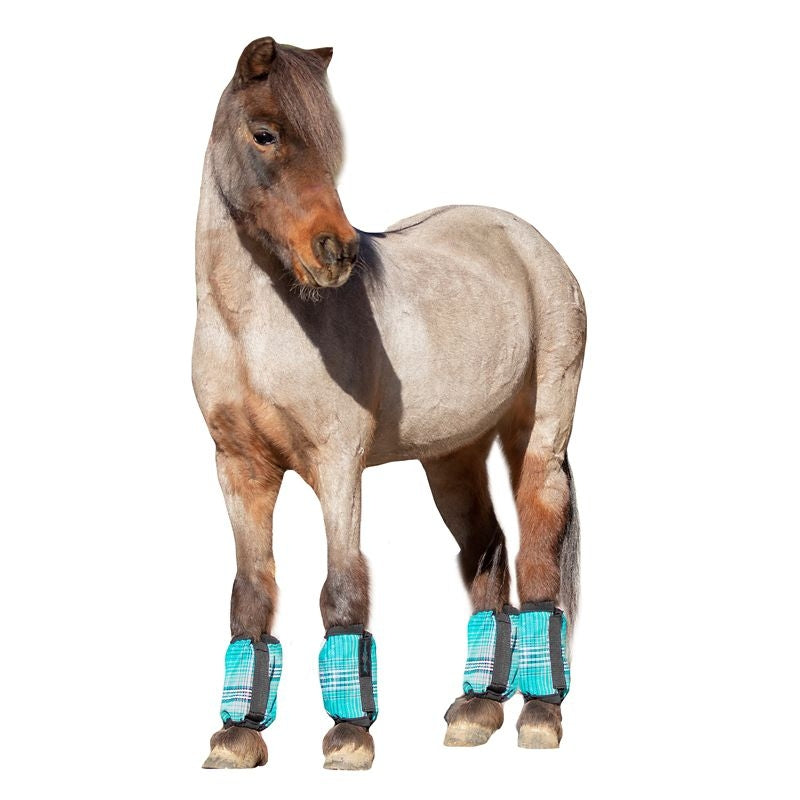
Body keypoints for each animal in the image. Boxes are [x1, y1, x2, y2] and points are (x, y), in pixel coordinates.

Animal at [193, 37, 586, 770]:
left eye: (332, 145)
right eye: (264, 134)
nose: (337, 252)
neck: (255, 330)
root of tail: (532, 245)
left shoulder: (336, 464)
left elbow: (342, 585)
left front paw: (350, 738)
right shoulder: (239, 469)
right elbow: (251, 593)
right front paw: (235, 739)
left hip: (539, 438)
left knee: (536, 551)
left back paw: (540, 718)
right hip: (452, 458)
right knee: (487, 551)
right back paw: (474, 712)